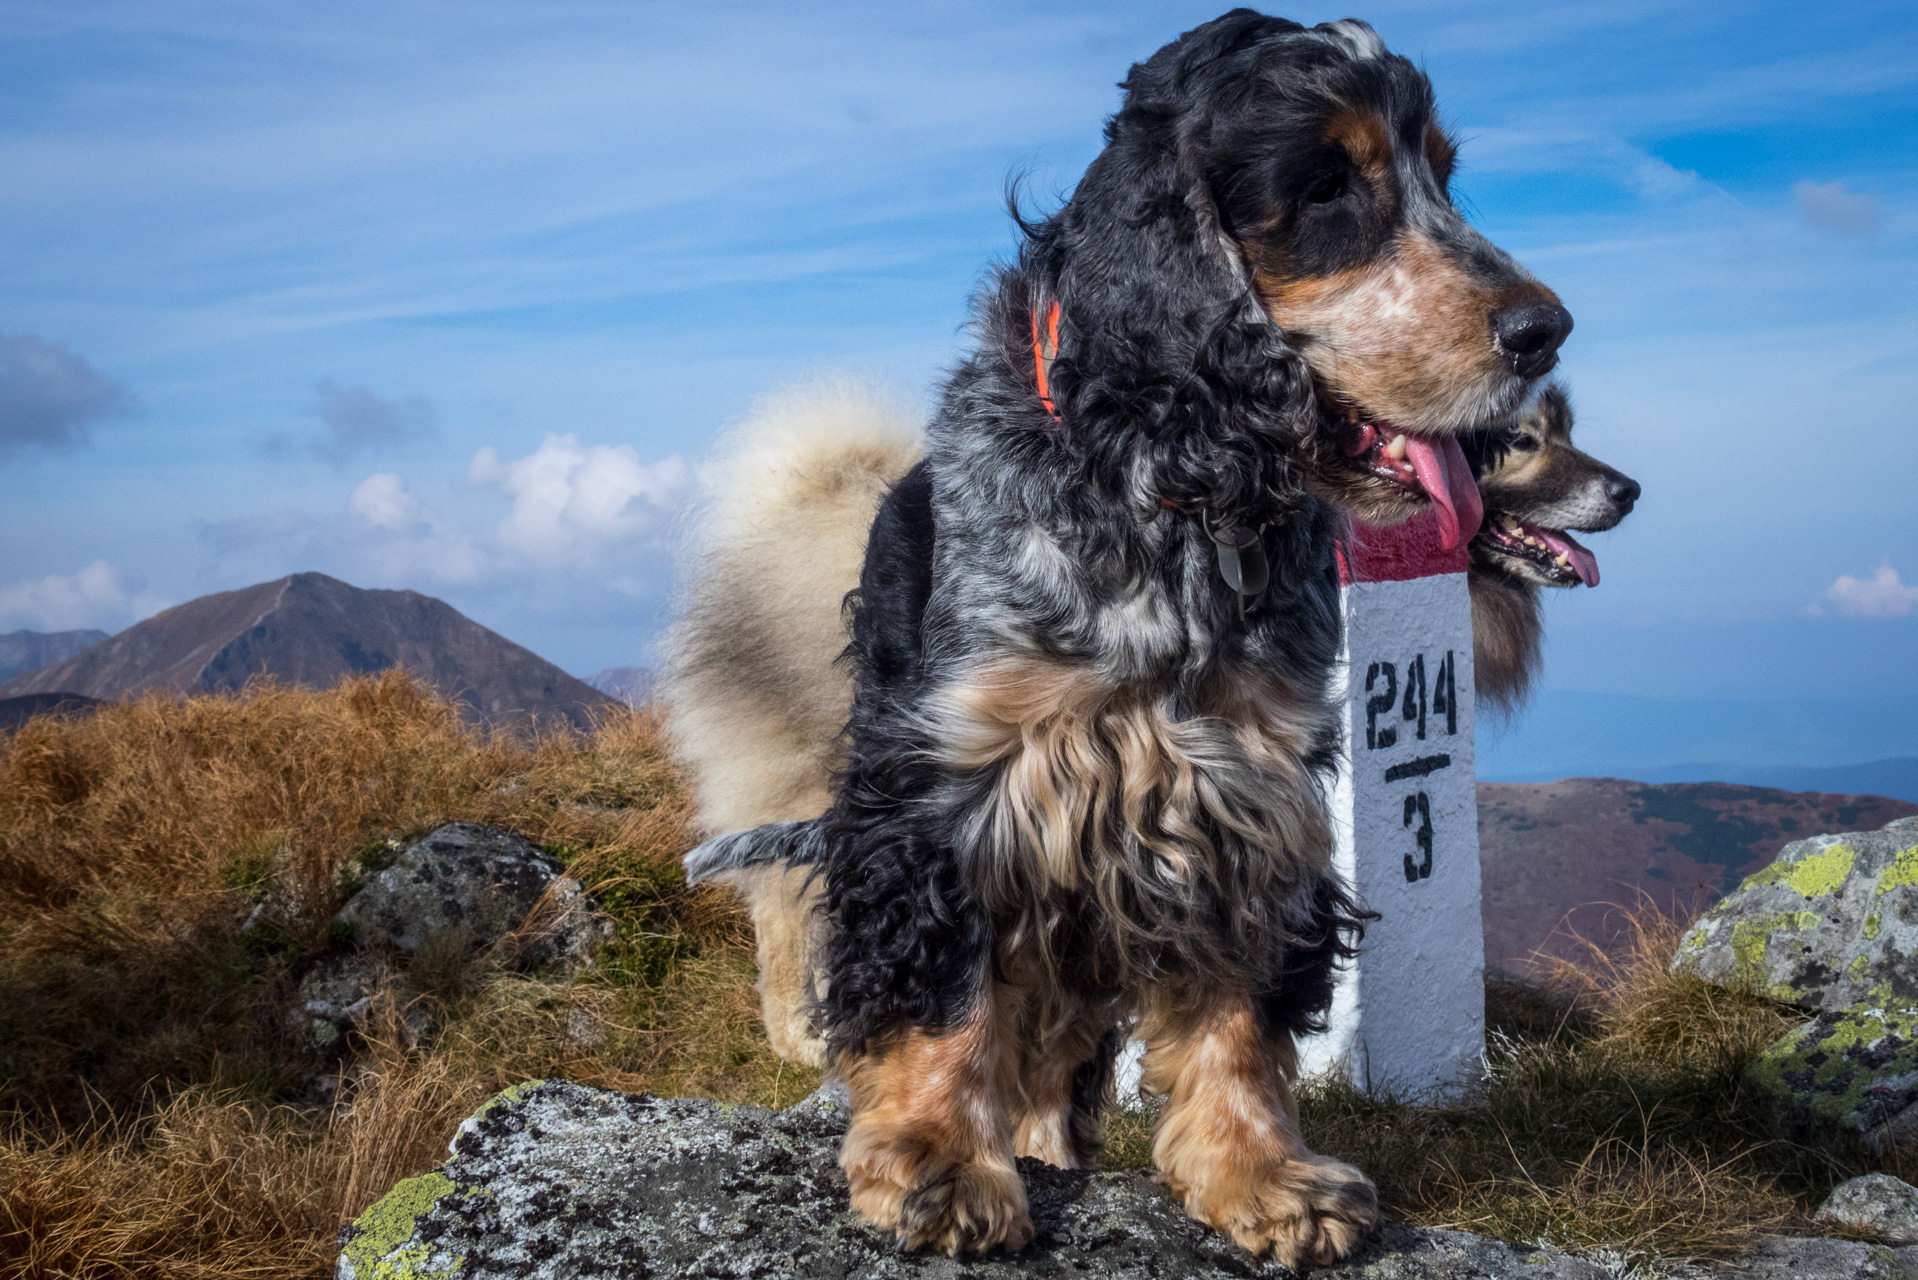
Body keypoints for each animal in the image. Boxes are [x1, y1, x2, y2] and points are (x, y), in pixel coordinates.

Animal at [667, 12, 1565, 1274]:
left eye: (1441, 172)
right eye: (1326, 185)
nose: (1545, 328)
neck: (1168, 486)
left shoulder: (1243, 783)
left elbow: (1235, 1009)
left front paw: (1263, 1175)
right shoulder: (954, 785)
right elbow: (945, 994)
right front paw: (939, 1163)